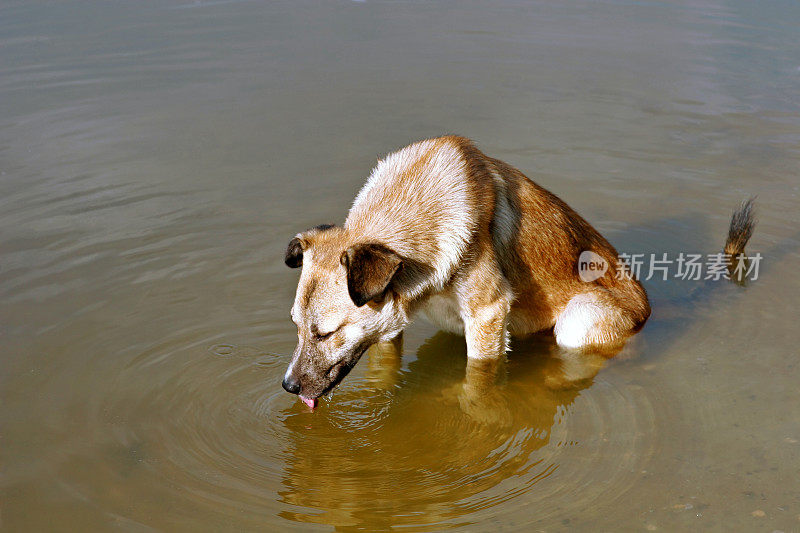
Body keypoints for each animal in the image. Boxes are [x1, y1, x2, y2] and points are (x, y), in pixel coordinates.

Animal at [282, 134, 756, 408]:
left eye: (326, 332)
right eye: (297, 327)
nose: (288, 387)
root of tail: (649, 308)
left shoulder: (487, 314)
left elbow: (478, 380)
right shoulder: (390, 325)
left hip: (579, 320)